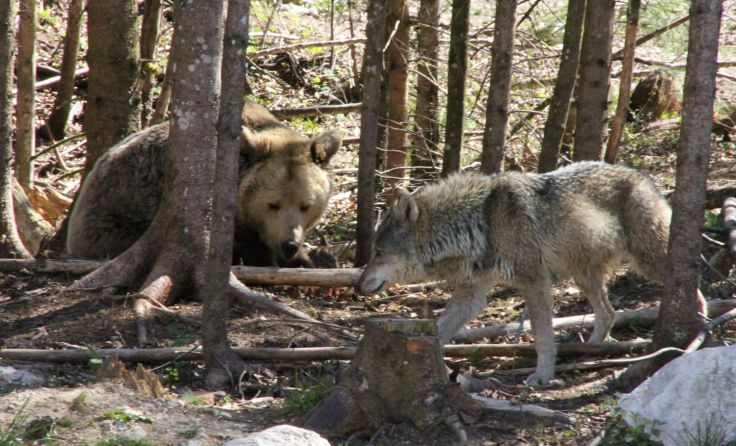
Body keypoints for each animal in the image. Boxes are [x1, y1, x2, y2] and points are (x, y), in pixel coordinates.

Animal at [356, 162, 671, 385]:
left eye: (378, 253)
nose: (358, 286)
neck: (478, 222)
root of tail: (645, 177)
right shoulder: (472, 294)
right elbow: (439, 331)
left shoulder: (535, 282)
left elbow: (542, 336)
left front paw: (542, 376)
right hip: (584, 275)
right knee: (608, 313)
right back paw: (589, 352)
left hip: (647, 262)